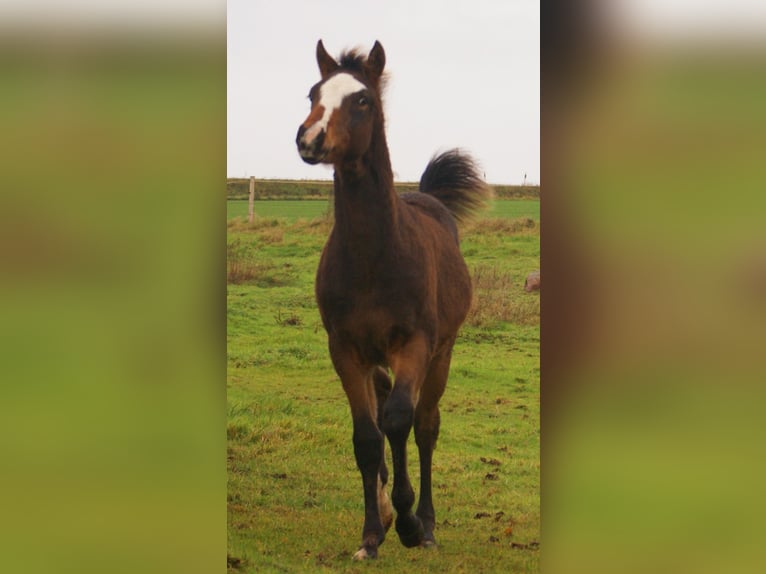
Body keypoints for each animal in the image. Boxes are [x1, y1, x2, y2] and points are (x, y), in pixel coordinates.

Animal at [296, 40, 490, 560]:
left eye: (363, 100)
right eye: (313, 94)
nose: (309, 139)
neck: (373, 256)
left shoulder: (414, 344)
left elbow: (402, 421)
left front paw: (408, 525)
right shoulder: (345, 349)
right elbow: (368, 436)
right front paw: (371, 533)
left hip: (442, 353)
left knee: (424, 425)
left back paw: (426, 523)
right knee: (385, 415)